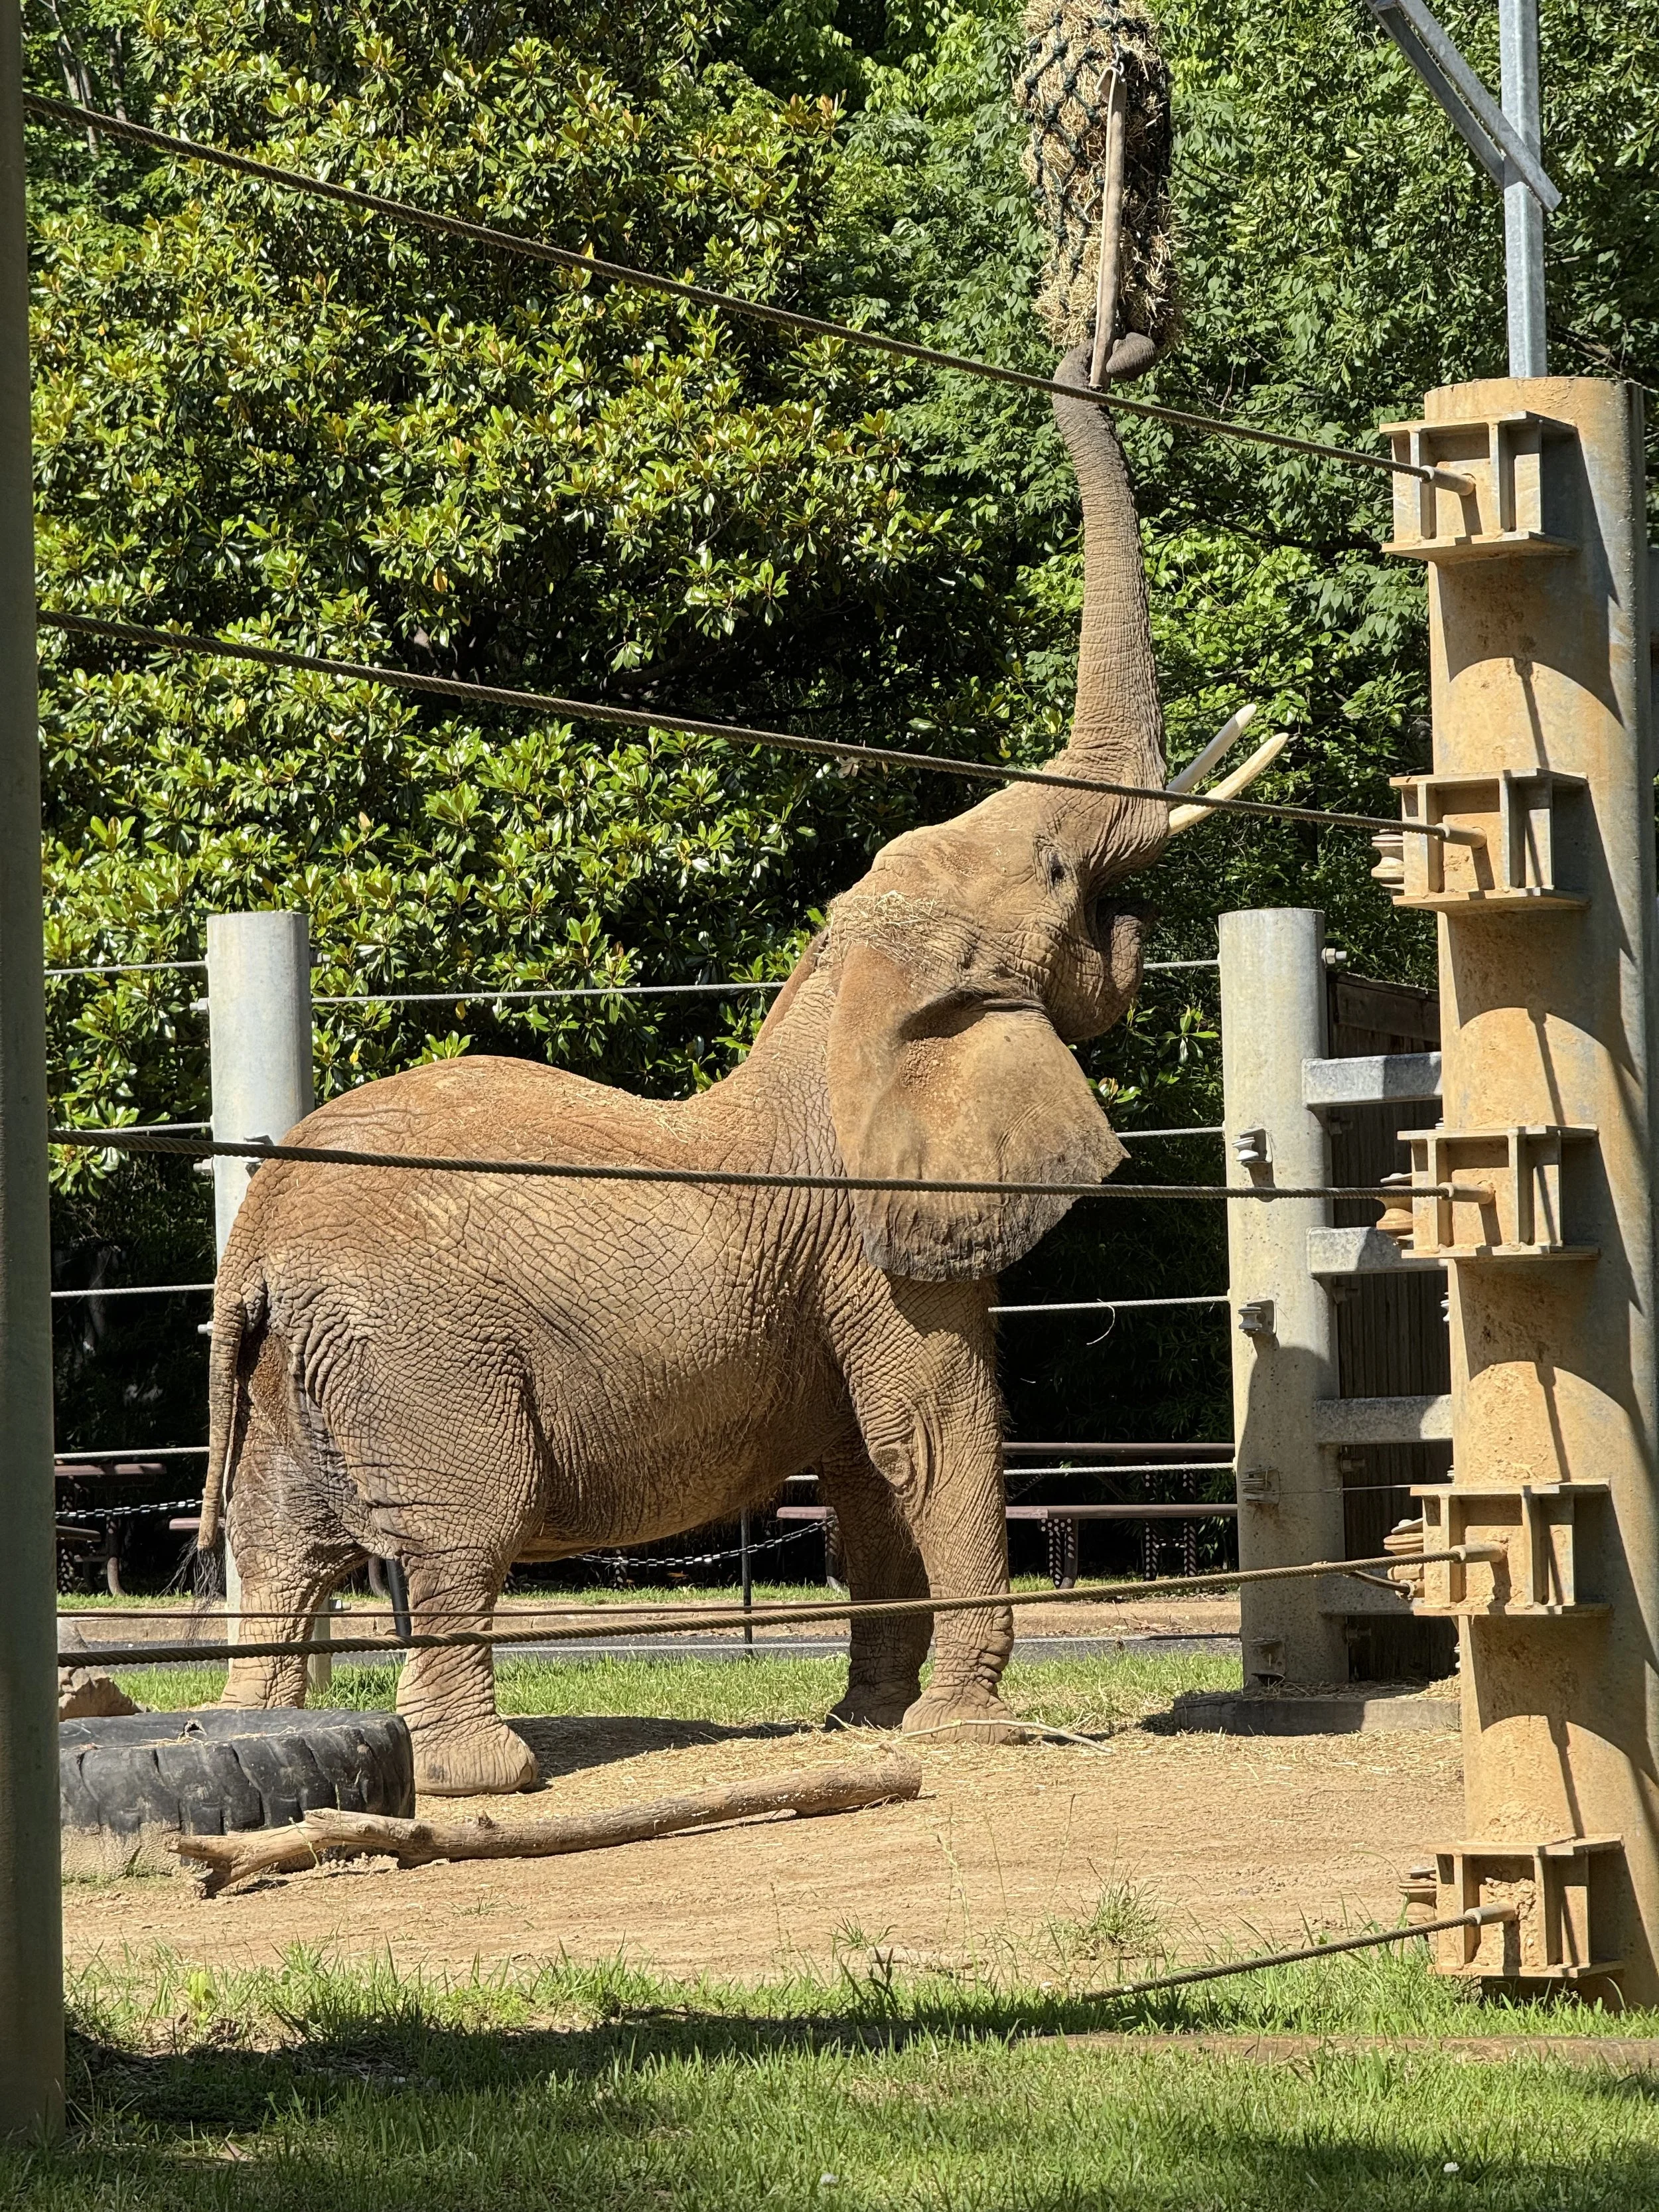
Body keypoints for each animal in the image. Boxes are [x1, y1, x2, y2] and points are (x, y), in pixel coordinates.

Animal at [199, 338, 1261, 1795]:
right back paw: (487, 1773)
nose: (1100, 343)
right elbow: (934, 1430)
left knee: (281, 1557)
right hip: (419, 1360)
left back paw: (262, 1739)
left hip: (292, 1372)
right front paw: (973, 1732)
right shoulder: (877, 1236)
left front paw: (868, 1723)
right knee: (457, 1539)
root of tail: (253, 1249)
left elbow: (869, 1472)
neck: (845, 1004)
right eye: (1052, 870)